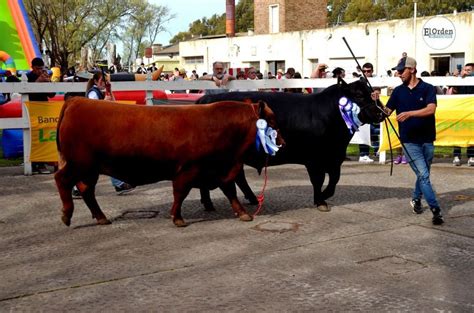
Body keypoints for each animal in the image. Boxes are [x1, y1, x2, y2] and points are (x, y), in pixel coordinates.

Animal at [56, 96, 286, 225]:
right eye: (272, 122)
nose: (282, 142)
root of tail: (76, 101)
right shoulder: (188, 170)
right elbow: (180, 193)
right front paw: (177, 218)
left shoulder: (221, 169)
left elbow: (231, 192)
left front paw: (242, 213)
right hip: (79, 164)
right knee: (62, 180)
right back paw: (66, 214)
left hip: (89, 170)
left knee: (86, 190)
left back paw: (101, 217)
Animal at [196, 77, 386, 211]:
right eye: (359, 95)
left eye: (372, 93)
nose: (382, 113)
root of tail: (204, 99)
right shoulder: (314, 159)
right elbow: (318, 180)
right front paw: (320, 200)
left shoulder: (334, 158)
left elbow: (334, 180)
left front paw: (323, 196)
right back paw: (209, 204)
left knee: (238, 177)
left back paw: (248, 198)